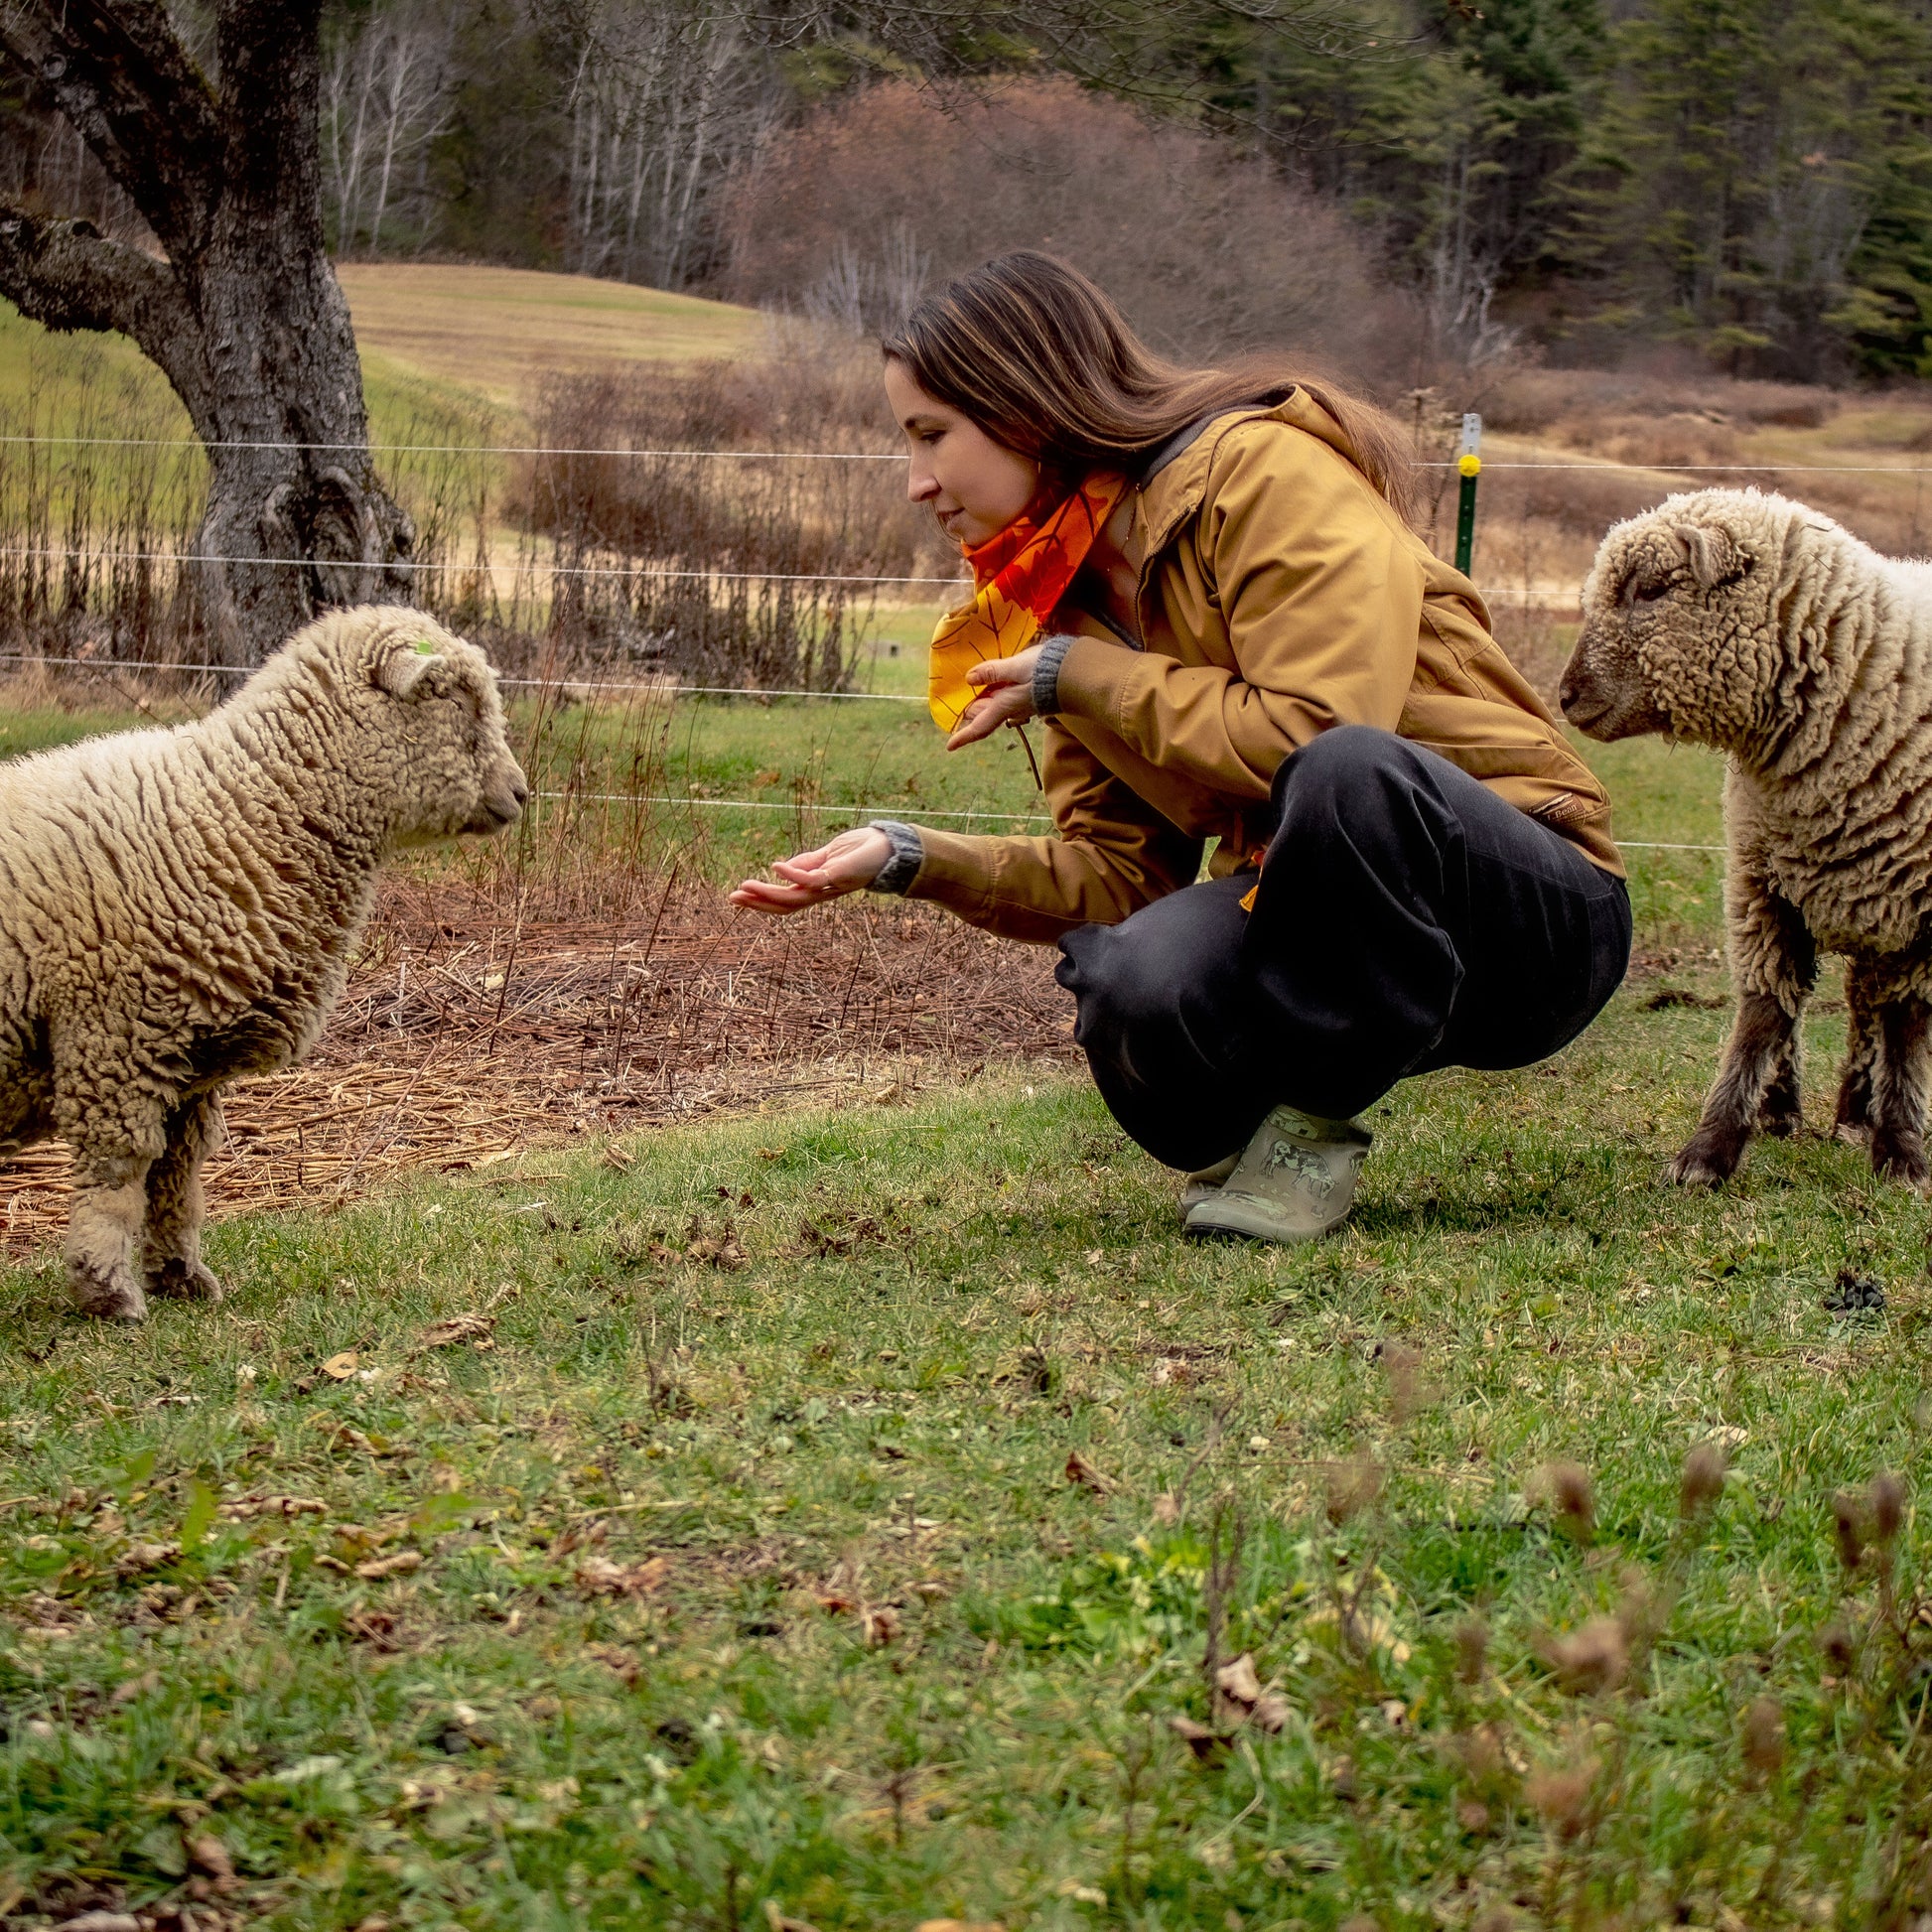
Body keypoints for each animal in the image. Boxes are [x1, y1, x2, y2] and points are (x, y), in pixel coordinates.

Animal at [0, 606, 528, 1320]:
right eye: (454, 699)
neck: (240, 813)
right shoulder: (113, 1037)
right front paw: (108, 1290)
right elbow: (120, 1174)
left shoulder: (186, 1060)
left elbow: (177, 1173)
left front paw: (181, 1276)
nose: (522, 793)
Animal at [1559, 486, 1932, 1189]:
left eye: (1651, 589)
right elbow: (1764, 1014)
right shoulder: (1763, 884)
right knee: (1845, 999)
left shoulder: (1915, 904)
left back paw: (1860, 1115)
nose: (1566, 696)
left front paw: (1901, 1153)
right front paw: (1711, 1149)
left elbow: (1906, 1026)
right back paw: (1805, 1110)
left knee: (1871, 1004)